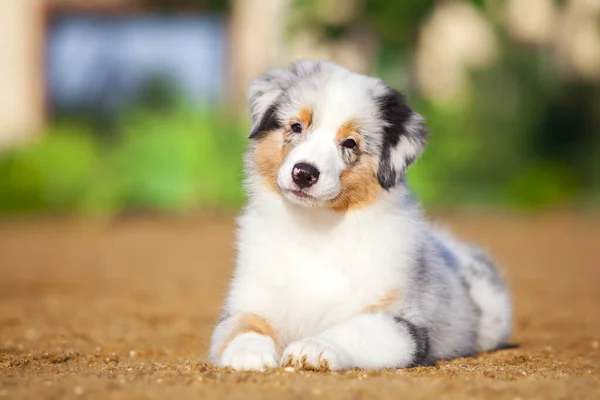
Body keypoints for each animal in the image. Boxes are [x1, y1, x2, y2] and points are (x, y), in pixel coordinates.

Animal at [207, 60, 510, 372]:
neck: (314, 228)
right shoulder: (249, 302)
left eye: (350, 143)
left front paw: (314, 347)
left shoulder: (401, 324)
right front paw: (248, 353)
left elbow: (353, 329)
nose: (303, 173)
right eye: (296, 126)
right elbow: (241, 325)